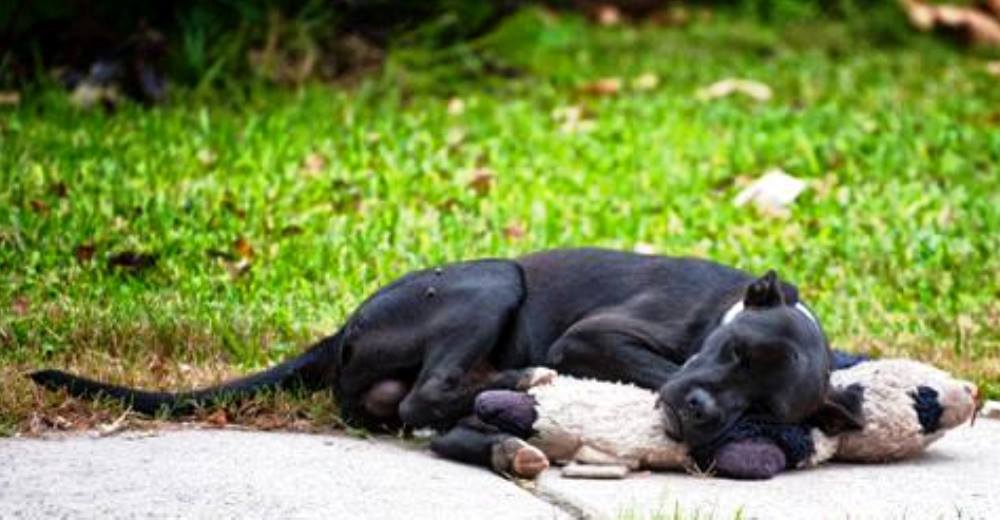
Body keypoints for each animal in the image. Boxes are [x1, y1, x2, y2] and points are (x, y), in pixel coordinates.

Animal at [29, 248, 860, 472]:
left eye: (764, 403)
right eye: (730, 352)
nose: (701, 411)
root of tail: (344, 329)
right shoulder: (593, 339)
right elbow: (652, 371)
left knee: (424, 408)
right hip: (490, 282)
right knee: (425, 397)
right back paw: (520, 385)